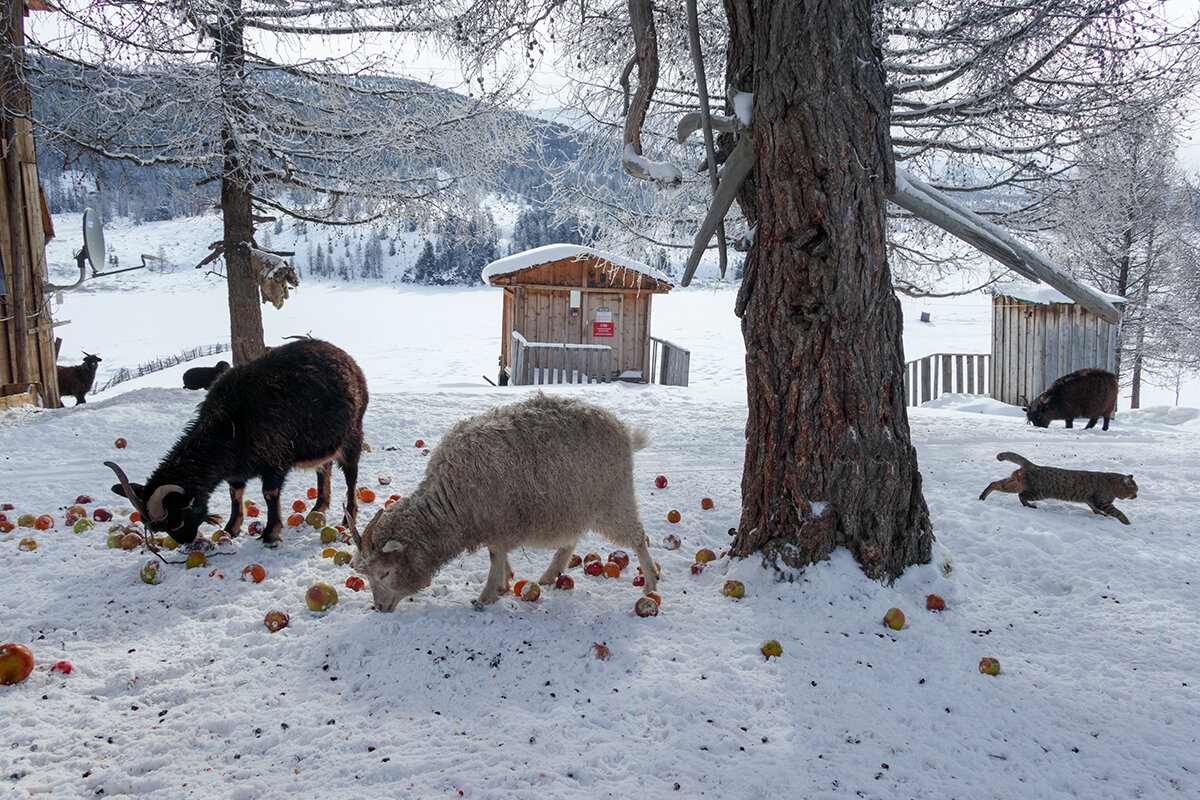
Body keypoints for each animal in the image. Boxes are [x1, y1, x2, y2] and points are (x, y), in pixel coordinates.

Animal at [108, 340, 369, 546]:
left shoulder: (275, 462)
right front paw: (231, 529)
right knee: (324, 469)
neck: (229, 425)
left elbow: (269, 494)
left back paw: (348, 516)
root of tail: (350, 361)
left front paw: (269, 534)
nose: (186, 541)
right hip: (325, 442)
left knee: (350, 475)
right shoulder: (236, 472)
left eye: (176, 523)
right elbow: (235, 494)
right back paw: (319, 506)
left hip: (352, 435)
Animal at [350, 395, 662, 614]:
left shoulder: (499, 520)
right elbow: (497, 555)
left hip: (613, 498)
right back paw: (550, 575)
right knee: (571, 539)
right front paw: (505, 582)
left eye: (385, 573)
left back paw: (650, 582)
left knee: (638, 537)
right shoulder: (495, 523)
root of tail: (623, 430)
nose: (379, 608)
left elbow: (494, 556)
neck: (453, 500)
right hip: (572, 504)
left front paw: (487, 595)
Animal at [974, 450, 1132, 525]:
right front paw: (1126, 522)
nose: (1135, 495)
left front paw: (1100, 515)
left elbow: (1095, 509)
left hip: (1013, 483)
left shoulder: (1092, 500)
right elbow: (1118, 512)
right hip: (1037, 492)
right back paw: (1029, 505)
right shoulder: (1102, 502)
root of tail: (1031, 465)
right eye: (1134, 490)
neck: (1110, 482)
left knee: (994, 483)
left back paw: (982, 496)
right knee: (1022, 496)